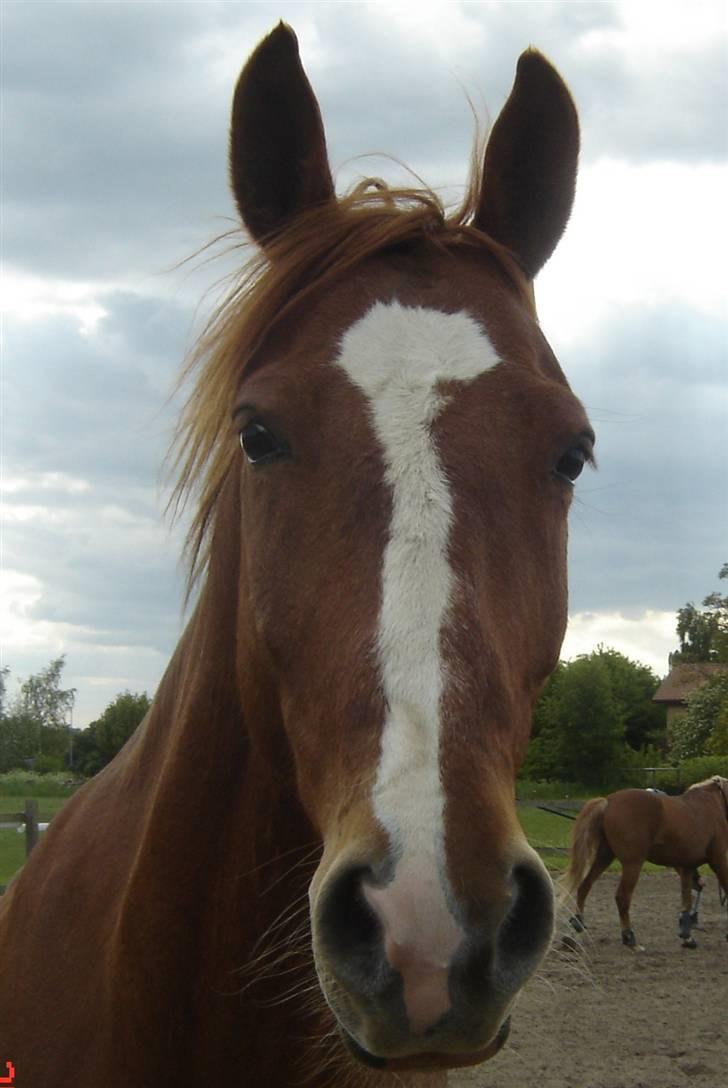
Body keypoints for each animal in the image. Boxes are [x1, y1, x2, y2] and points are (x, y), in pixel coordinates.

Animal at [565, 779, 726, 948]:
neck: (710, 805)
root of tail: (609, 801)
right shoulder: (718, 860)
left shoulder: (687, 866)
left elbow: (687, 899)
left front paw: (687, 936)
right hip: (633, 863)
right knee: (622, 897)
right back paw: (629, 937)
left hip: (605, 857)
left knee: (584, 887)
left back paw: (576, 928)